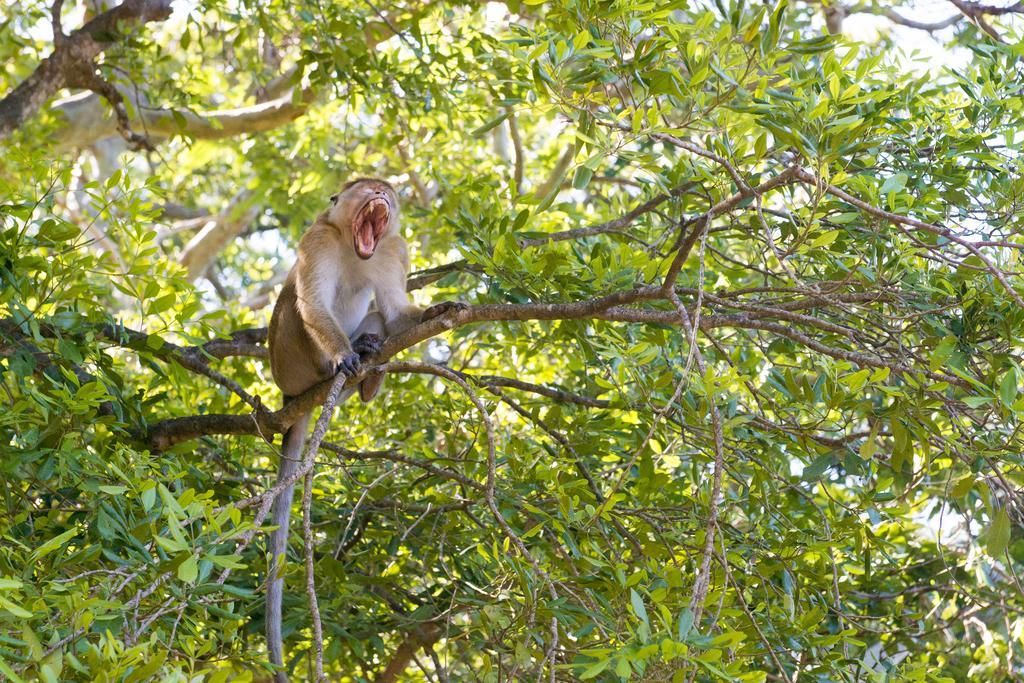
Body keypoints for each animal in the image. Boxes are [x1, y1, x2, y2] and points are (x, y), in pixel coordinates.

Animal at [264, 179, 464, 679]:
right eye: (368, 189)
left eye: (386, 192)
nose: (381, 196)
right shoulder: (317, 240)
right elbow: (313, 302)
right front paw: (343, 355)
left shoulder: (393, 248)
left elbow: (394, 311)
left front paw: (438, 308)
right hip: (289, 361)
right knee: (298, 305)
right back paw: (342, 363)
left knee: (376, 319)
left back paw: (371, 370)